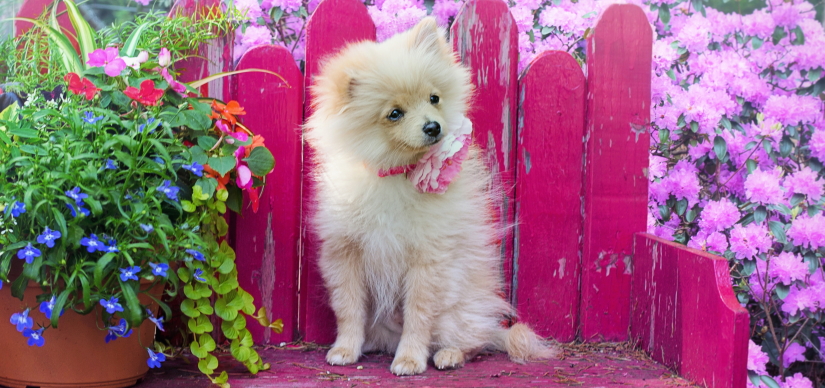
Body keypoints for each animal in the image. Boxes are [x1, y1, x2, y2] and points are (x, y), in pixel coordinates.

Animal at [302, 16, 552, 374]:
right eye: (394, 113)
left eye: (434, 98)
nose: (433, 126)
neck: (394, 175)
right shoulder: (345, 253)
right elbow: (348, 308)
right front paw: (345, 349)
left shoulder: (428, 259)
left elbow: (418, 316)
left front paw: (409, 358)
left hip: (457, 314)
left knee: (473, 341)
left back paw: (449, 354)